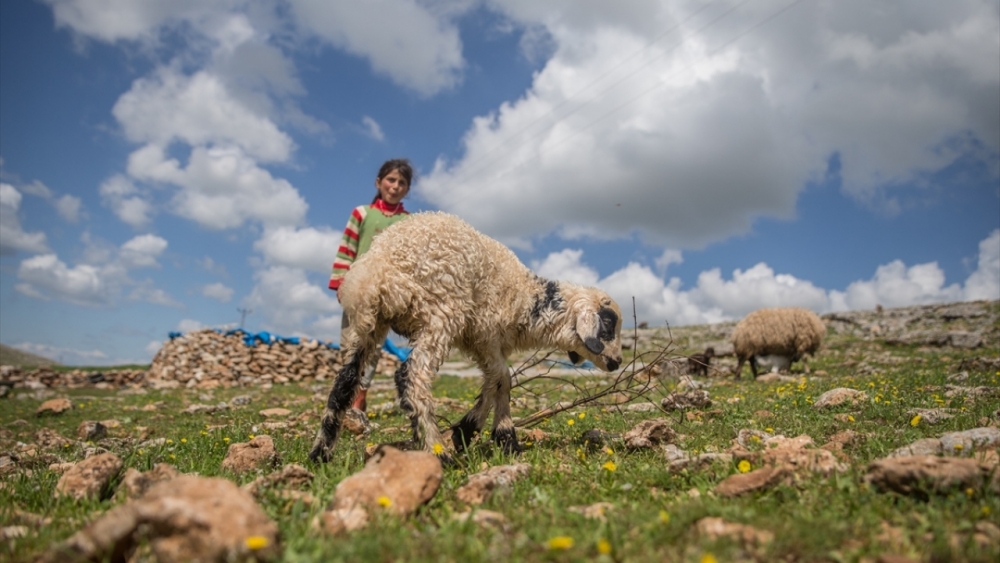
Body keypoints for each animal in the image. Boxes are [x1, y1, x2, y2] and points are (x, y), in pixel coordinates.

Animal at [310, 212, 624, 462]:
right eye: (608, 326)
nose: (618, 362)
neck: (527, 300)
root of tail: (377, 272)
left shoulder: (483, 343)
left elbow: (497, 381)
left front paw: (478, 432)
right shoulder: (487, 335)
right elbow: (502, 379)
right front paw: (491, 435)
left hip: (369, 328)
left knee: (345, 382)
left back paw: (320, 452)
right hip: (441, 312)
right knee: (412, 376)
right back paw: (438, 452)